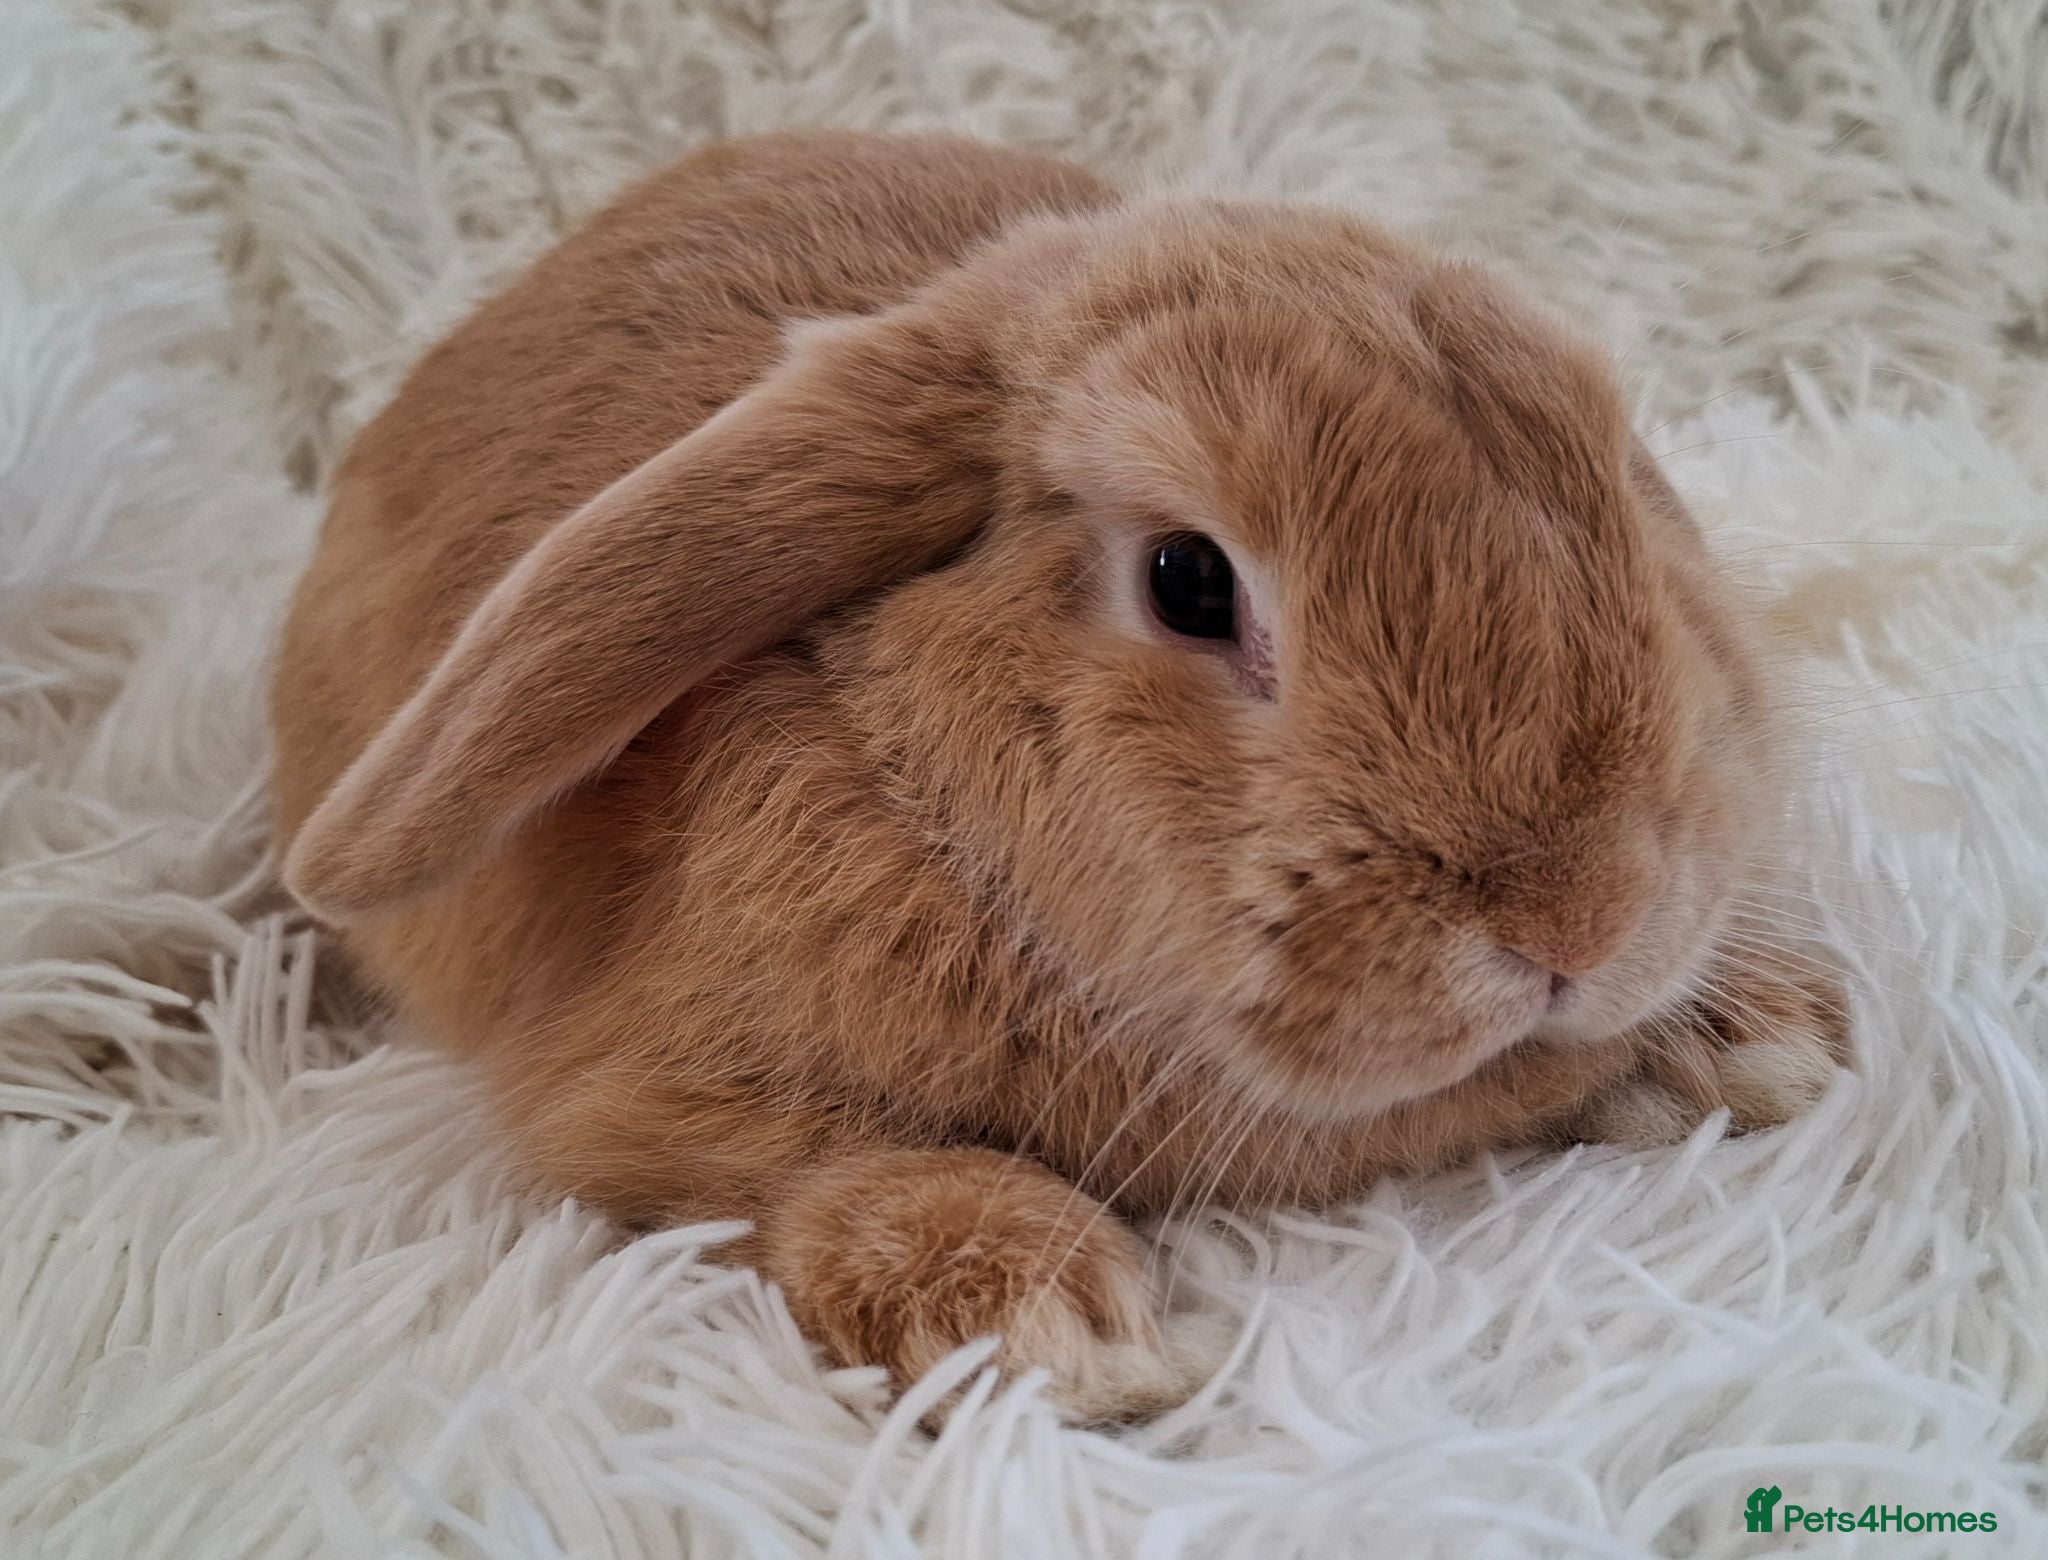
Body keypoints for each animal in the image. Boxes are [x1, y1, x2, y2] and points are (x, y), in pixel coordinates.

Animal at [273, 131, 1850, 1421]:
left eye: (1619, 489)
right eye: (1189, 581)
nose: (1576, 919)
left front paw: (1759, 1035)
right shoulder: (631, 1107)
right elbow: (787, 1165)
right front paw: (1048, 1323)